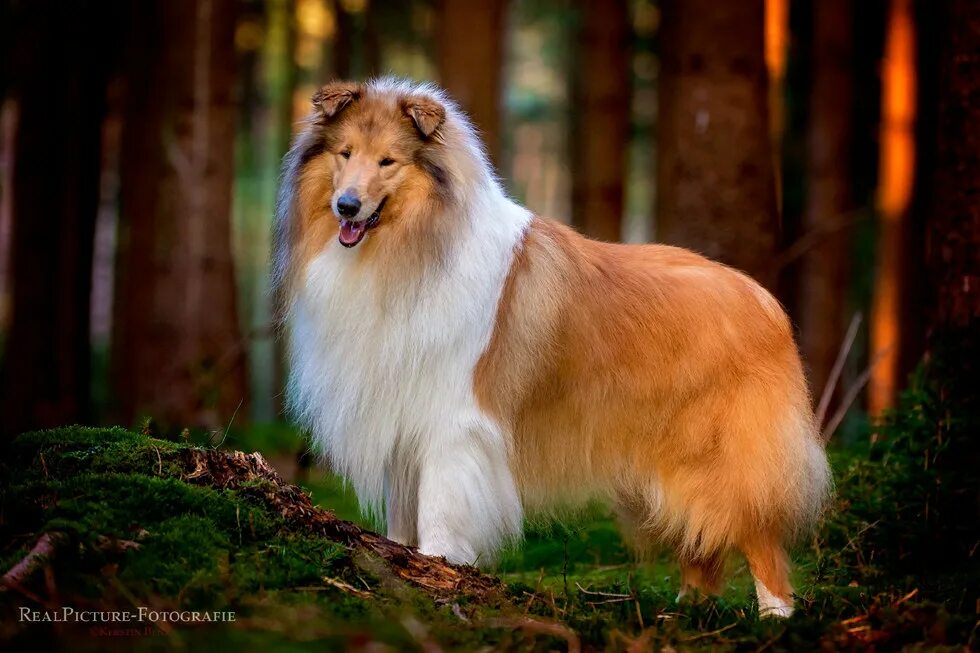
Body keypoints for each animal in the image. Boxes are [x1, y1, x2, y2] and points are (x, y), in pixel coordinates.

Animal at [272, 76, 832, 616]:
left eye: (388, 161)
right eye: (345, 153)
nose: (346, 205)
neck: (411, 248)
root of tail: (765, 301)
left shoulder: (452, 426)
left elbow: (438, 517)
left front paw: (438, 576)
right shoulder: (402, 420)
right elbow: (400, 521)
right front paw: (402, 568)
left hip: (724, 460)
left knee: (760, 544)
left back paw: (773, 620)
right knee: (702, 546)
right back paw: (686, 615)